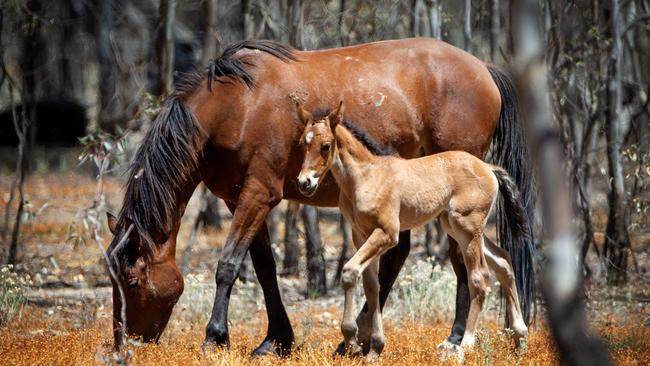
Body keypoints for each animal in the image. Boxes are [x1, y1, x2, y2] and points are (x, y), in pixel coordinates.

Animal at [296, 101, 528, 358]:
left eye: (325, 146)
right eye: (302, 143)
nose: (304, 183)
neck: (366, 176)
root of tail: (487, 166)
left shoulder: (387, 234)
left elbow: (349, 272)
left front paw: (351, 340)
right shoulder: (361, 236)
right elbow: (371, 285)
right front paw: (374, 348)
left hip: (467, 227)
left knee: (480, 276)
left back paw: (465, 345)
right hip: (455, 227)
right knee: (504, 261)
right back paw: (520, 336)